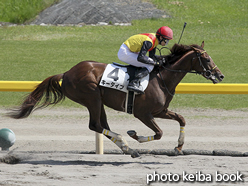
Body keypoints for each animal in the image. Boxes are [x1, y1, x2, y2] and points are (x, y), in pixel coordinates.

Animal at [8, 41, 225, 158]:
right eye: (207, 59)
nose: (220, 75)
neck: (162, 78)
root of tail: (67, 73)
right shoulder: (143, 114)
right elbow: (159, 133)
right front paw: (135, 135)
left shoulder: (160, 111)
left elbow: (181, 119)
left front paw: (179, 146)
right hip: (92, 96)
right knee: (95, 125)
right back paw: (126, 143)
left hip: (98, 102)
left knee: (101, 125)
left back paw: (127, 148)